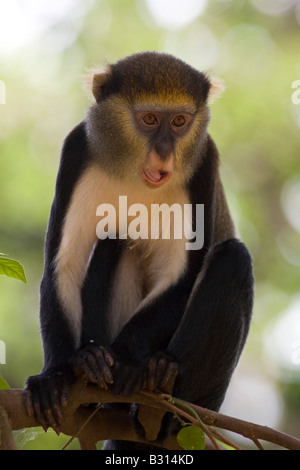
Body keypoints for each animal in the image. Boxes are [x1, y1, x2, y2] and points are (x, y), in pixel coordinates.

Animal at [25, 52, 253, 448]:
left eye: (179, 122)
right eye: (149, 120)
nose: (164, 153)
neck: (134, 174)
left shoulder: (203, 161)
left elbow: (182, 275)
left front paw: (129, 357)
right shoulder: (77, 150)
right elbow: (62, 267)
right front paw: (54, 376)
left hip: (208, 403)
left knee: (232, 260)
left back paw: (160, 402)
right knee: (114, 239)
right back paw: (92, 369)